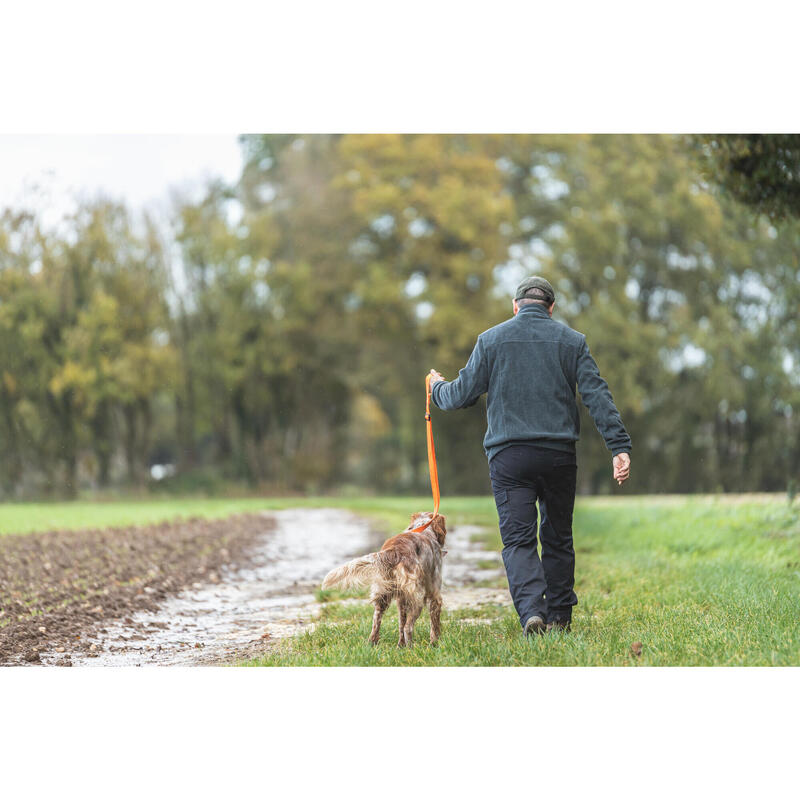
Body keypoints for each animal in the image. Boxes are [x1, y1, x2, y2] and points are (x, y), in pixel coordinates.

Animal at [320, 516, 446, 648]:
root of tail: (395, 551)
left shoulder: (401, 599)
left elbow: (401, 623)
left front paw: (401, 645)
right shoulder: (435, 595)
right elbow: (435, 625)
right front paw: (435, 643)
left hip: (382, 595)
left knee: (378, 623)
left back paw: (377, 644)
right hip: (417, 599)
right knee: (408, 627)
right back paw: (411, 648)